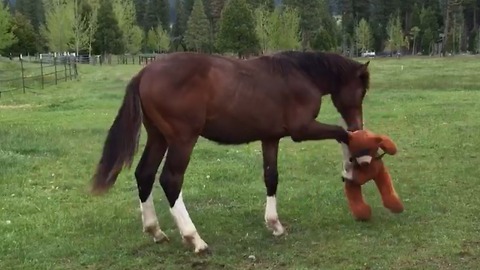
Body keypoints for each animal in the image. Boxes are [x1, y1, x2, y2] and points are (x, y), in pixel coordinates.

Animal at [90, 50, 372, 253]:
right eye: (361, 91)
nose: (359, 124)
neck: (299, 74)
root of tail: (144, 72)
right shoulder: (302, 130)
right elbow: (342, 134)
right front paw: (353, 165)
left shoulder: (271, 138)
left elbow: (271, 177)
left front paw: (275, 224)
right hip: (182, 140)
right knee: (170, 180)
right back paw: (194, 239)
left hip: (159, 137)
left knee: (144, 174)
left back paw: (155, 231)